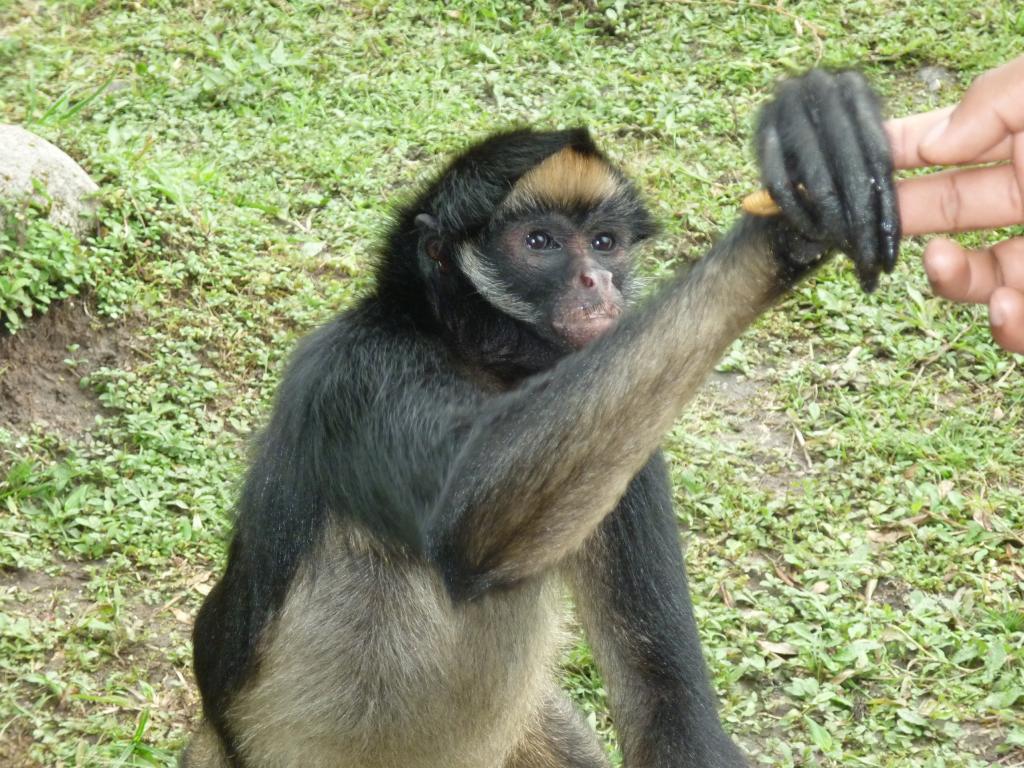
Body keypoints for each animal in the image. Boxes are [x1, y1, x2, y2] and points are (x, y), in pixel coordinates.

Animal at [182, 70, 897, 768]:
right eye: (540, 242)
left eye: (605, 244)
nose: (596, 282)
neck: (483, 365)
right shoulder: (364, 367)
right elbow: (465, 523)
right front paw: (785, 217)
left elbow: (668, 716)